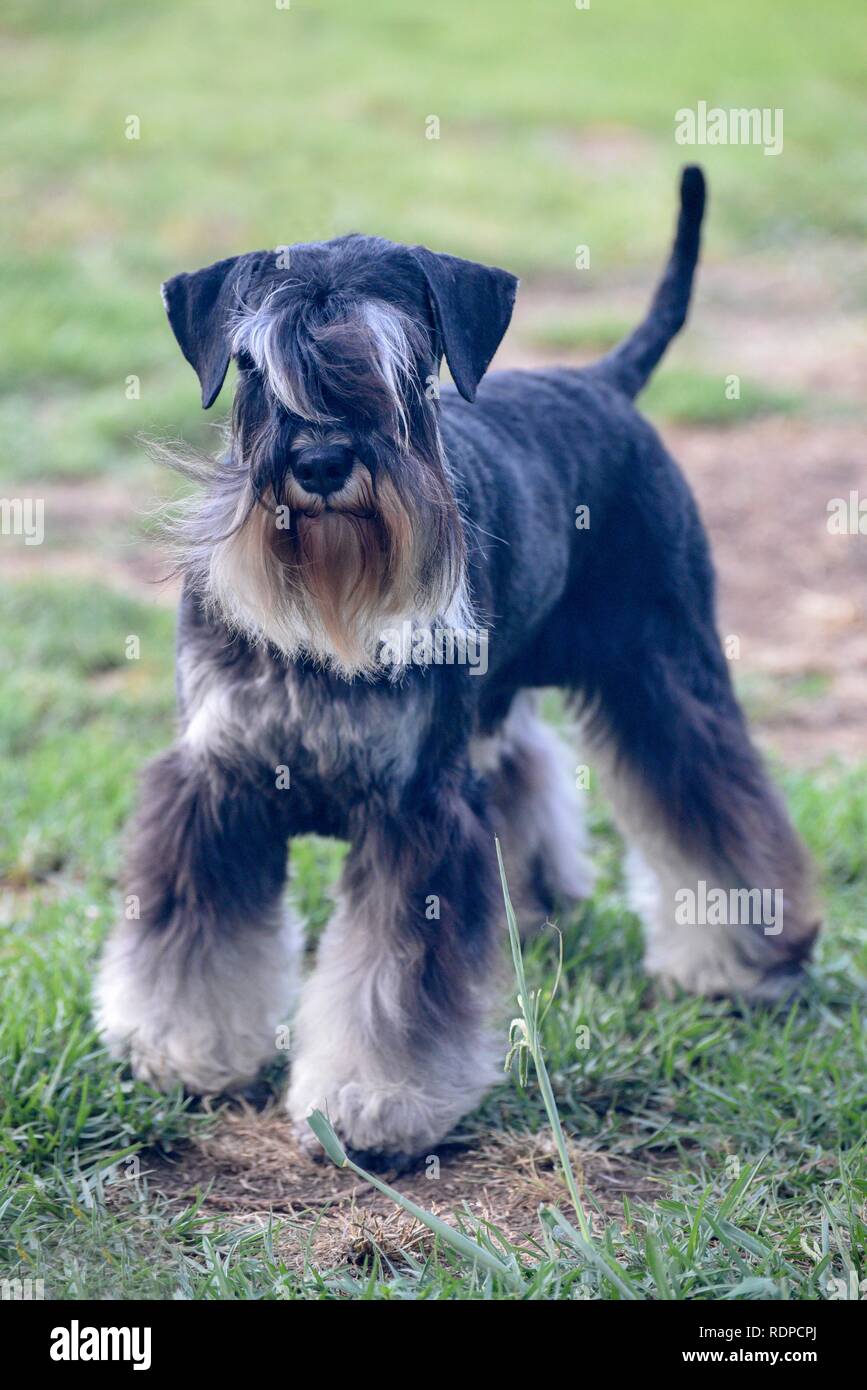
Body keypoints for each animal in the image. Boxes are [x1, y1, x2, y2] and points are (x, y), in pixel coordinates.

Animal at [96, 162, 816, 1162]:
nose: (321, 463)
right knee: (523, 766)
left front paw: (371, 1102)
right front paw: (177, 1047)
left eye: (404, 367)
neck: (326, 617)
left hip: (664, 671)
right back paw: (541, 899)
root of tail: (605, 381)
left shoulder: (415, 808)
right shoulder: (217, 777)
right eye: (252, 366)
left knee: (713, 803)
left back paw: (737, 960)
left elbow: (390, 983)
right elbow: (190, 933)